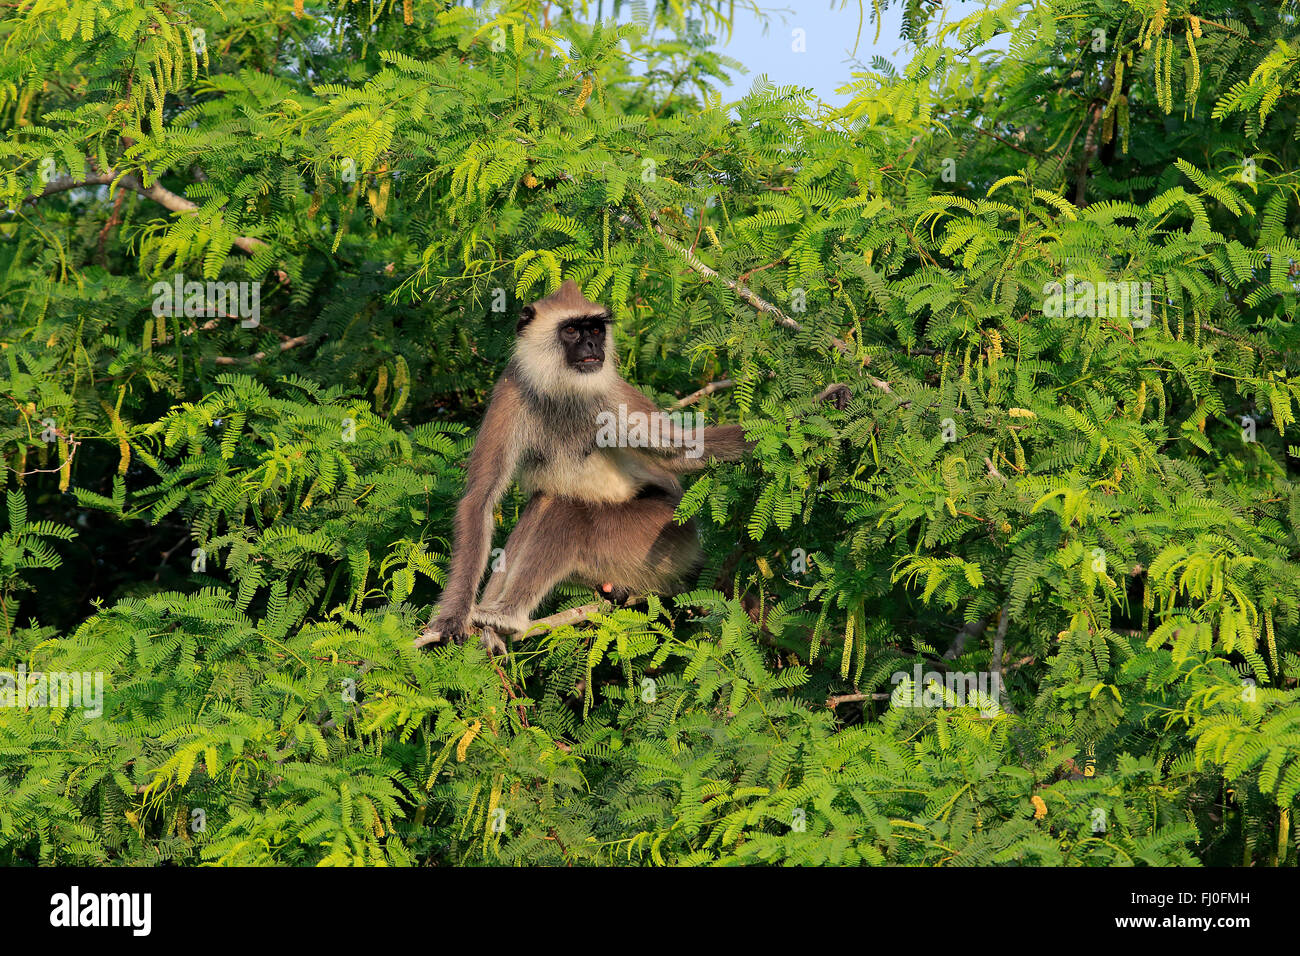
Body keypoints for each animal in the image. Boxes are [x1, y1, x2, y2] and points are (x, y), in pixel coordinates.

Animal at [426, 277, 754, 650]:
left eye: (595, 329)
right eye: (571, 330)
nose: (591, 344)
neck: (563, 391)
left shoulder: (611, 394)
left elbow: (685, 451)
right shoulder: (513, 387)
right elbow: (480, 496)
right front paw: (454, 615)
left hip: (662, 533)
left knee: (566, 513)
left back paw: (507, 615)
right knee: (544, 502)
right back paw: (494, 627)